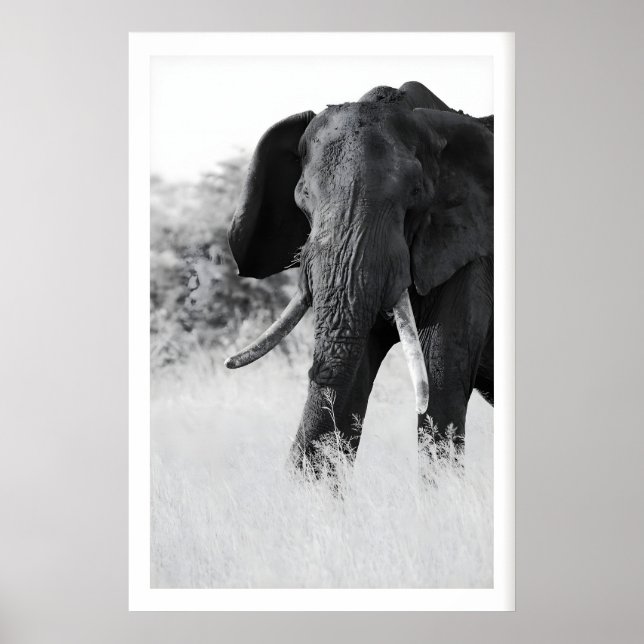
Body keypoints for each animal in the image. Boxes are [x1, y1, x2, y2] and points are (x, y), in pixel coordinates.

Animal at [225, 81, 494, 468]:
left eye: (415, 194)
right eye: (303, 196)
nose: (228, 361)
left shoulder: (468, 251)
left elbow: (443, 370)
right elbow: (352, 377)